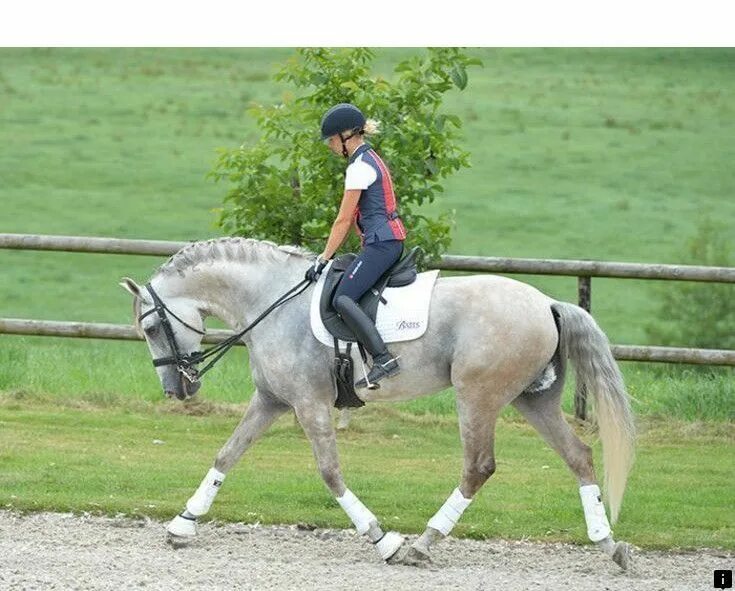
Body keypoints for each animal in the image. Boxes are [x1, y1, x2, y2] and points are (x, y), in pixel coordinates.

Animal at [121, 238, 640, 572]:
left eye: (151, 328)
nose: (175, 390)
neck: (271, 301)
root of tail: (546, 302)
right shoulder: (271, 400)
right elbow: (227, 454)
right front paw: (183, 524)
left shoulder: (309, 403)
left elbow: (330, 473)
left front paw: (383, 540)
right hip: (532, 398)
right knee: (578, 456)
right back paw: (608, 545)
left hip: (478, 394)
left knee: (478, 466)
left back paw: (421, 546)